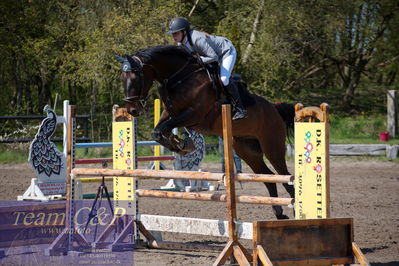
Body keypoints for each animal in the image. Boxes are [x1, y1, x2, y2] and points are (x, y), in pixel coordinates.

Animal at [115, 45, 294, 219]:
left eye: (135, 78)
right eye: (122, 78)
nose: (132, 110)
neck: (180, 78)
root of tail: (275, 109)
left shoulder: (193, 114)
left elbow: (162, 129)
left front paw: (181, 144)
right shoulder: (170, 113)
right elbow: (157, 131)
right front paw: (180, 143)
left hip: (272, 147)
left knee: (285, 176)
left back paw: (294, 210)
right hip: (247, 151)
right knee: (269, 177)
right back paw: (279, 212)